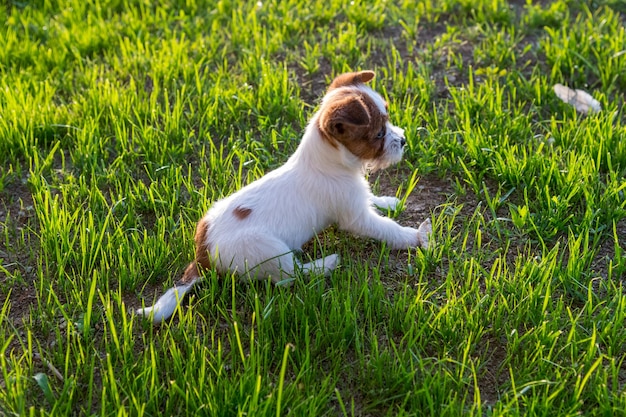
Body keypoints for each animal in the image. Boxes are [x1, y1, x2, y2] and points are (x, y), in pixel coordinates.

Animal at [135, 70, 428, 322]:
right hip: (268, 250)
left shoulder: (358, 198)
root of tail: (202, 255)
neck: (328, 162)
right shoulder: (356, 217)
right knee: (290, 275)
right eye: (378, 133)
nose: (403, 141)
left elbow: (373, 199)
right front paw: (414, 236)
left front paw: (388, 201)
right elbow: (386, 228)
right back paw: (327, 264)